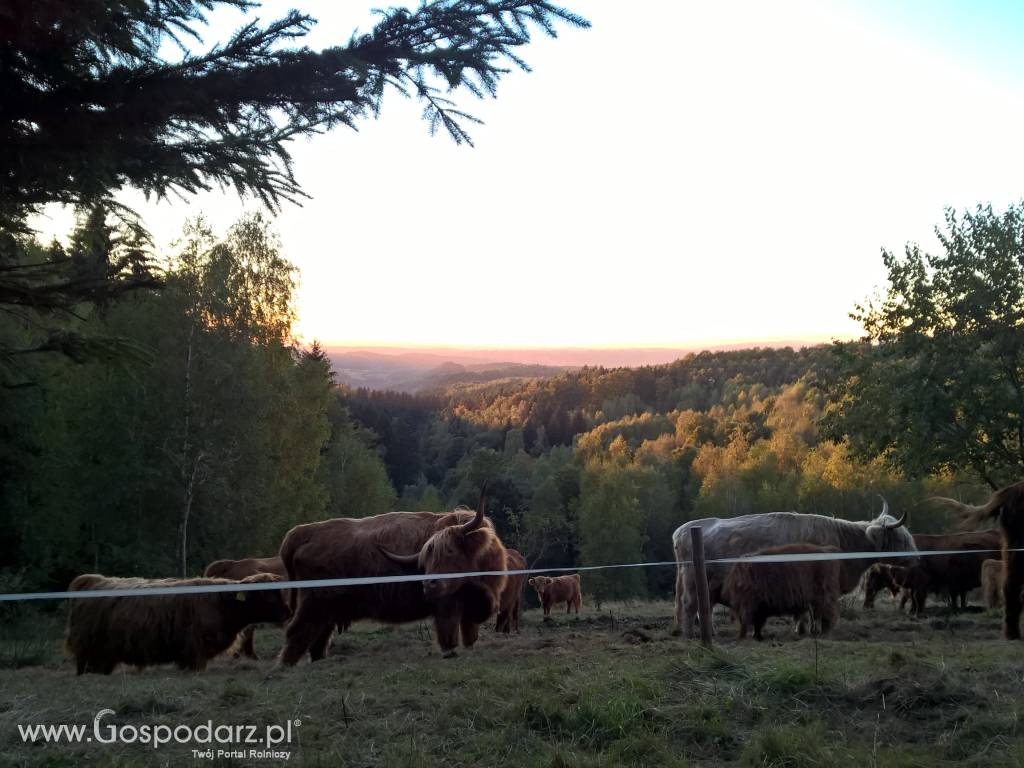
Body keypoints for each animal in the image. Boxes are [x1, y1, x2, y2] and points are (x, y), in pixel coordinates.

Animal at [65, 573, 288, 671]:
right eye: (269, 597)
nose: (288, 611)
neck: (224, 603)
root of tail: (93, 580)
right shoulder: (195, 649)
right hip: (89, 649)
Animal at [278, 493, 505, 667]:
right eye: (425, 560)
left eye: (449, 551)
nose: (428, 583)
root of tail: (303, 531)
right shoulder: (447, 605)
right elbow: (448, 633)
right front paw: (450, 653)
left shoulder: (470, 606)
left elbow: (470, 635)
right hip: (313, 605)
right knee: (297, 635)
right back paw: (284, 669)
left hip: (327, 612)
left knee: (318, 640)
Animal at [667, 499, 917, 638]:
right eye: (902, 538)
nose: (917, 558)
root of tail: (682, 530)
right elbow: (811, 609)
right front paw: (809, 629)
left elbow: (804, 609)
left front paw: (802, 629)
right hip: (692, 581)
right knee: (689, 605)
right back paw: (690, 635)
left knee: (704, 606)